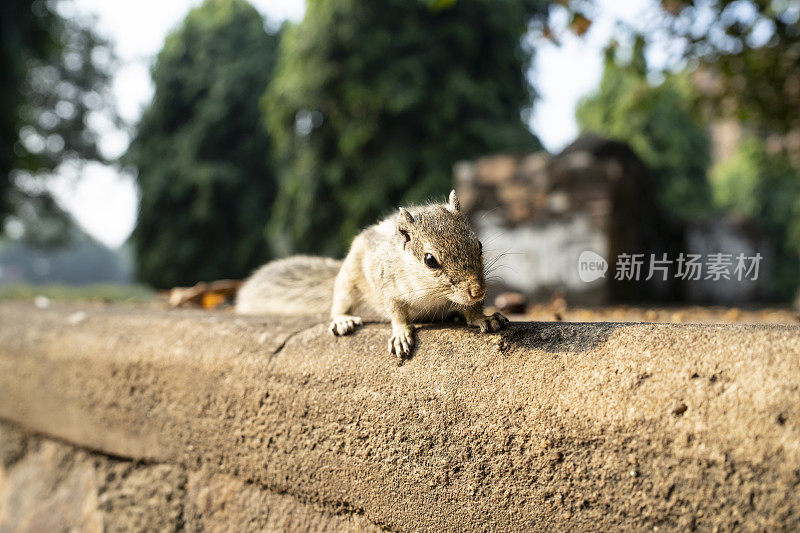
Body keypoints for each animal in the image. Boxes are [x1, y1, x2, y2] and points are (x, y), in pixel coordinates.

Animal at [234, 189, 510, 356]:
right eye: (430, 260)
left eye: (479, 245)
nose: (478, 290)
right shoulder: (387, 286)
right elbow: (396, 312)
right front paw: (401, 333)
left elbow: (472, 311)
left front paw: (483, 318)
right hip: (347, 283)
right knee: (339, 304)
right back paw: (343, 320)